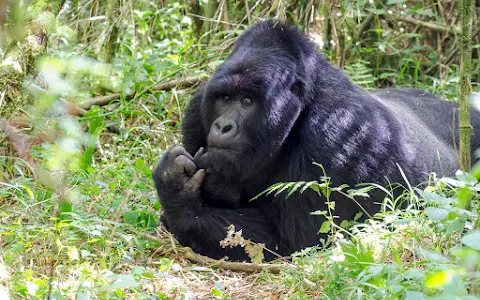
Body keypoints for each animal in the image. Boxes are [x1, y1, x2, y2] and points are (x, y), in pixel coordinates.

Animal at [154, 20, 480, 260]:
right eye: (224, 99)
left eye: (247, 100)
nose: (222, 126)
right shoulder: (197, 111)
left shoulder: (334, 131)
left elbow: (297, 241)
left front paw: (180, 200)